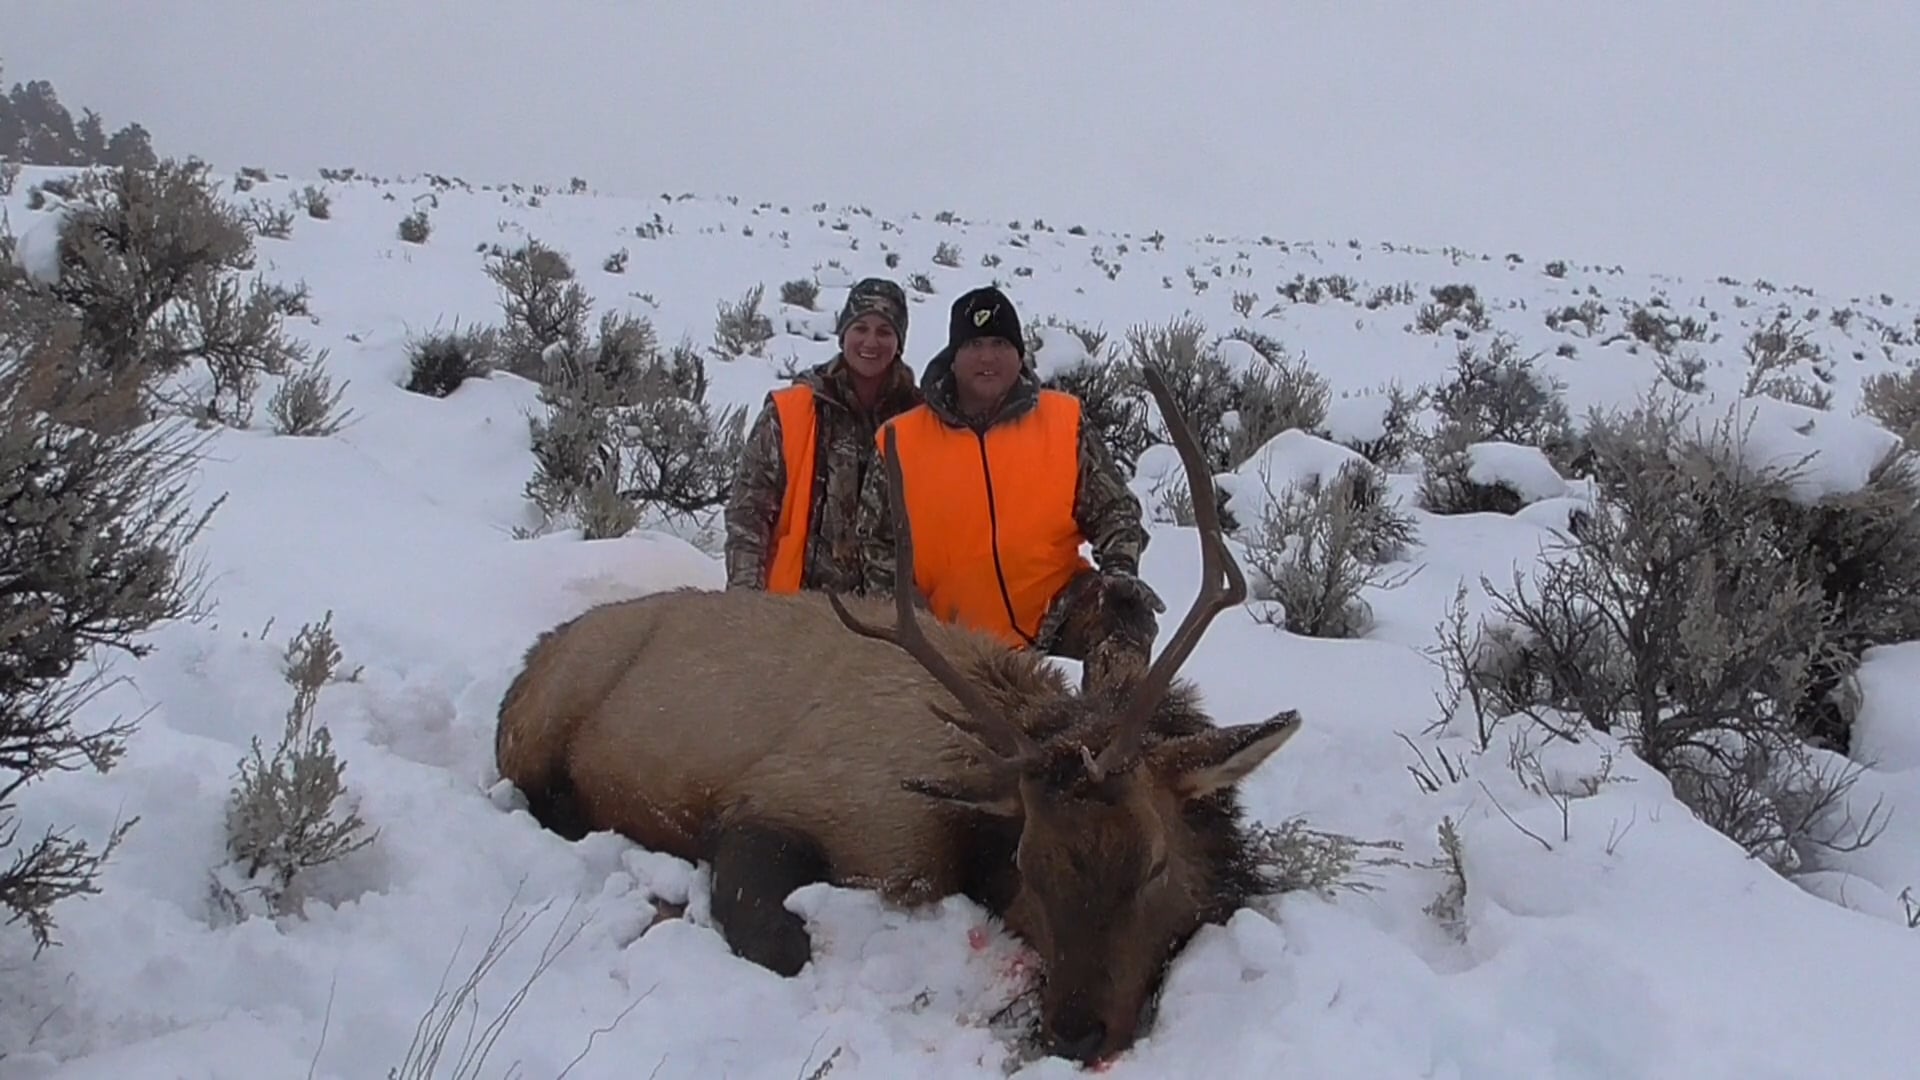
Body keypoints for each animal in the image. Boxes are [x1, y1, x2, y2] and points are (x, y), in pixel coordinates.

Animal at [495, 363, 1305, 1060]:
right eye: (1029, 865)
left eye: (1155, 862)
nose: (1075, 1032)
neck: (961, 834)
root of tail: (532, 660)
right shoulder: (793, 805)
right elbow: (778, 940)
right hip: (544, 726)